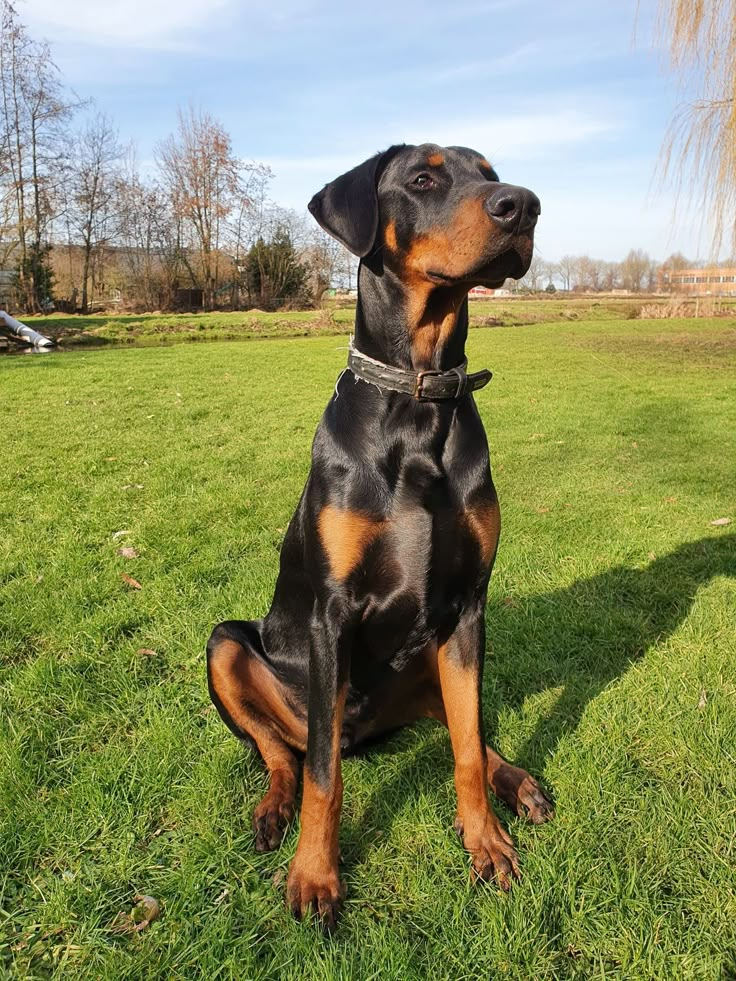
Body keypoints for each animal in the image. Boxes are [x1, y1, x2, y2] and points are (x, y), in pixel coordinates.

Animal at [206, 142, 552, 932]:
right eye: (422, 178)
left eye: (491, 174)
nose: (523, 205)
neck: (420, 395)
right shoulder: (331, 612)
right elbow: (323, 775)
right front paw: (315, 876)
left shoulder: (469, 605)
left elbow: (465, 742)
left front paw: (485, 841)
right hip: (230, 646)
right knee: (285, 752)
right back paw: (273, 807)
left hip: (428, 657)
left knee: (464, 728)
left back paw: (516, 780)